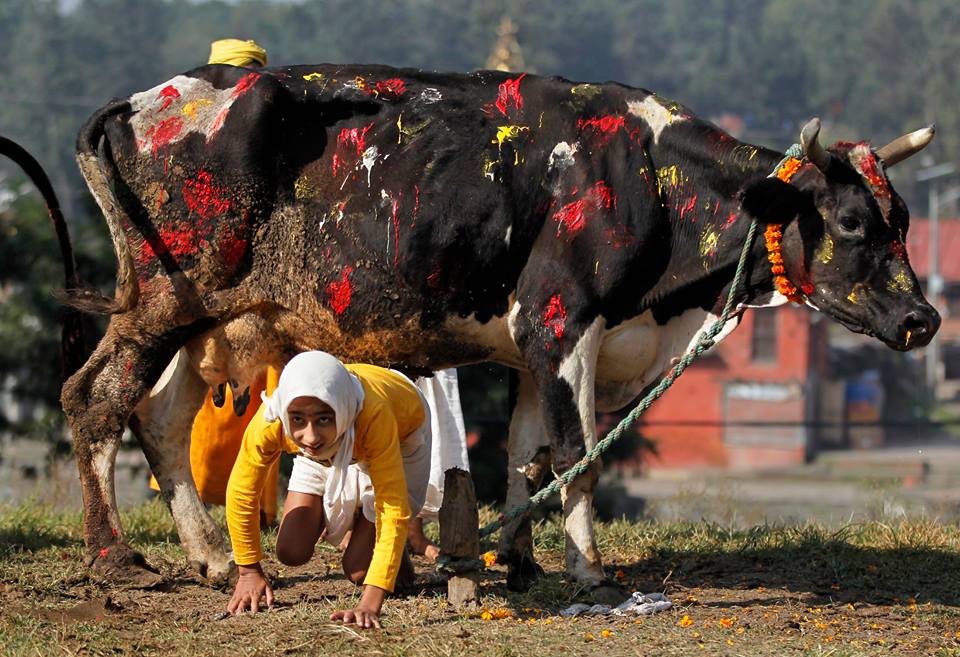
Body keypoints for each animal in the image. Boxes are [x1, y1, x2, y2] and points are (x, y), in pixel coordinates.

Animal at [1, 62, 936, 600]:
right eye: (852, 221)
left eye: (905, 219)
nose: (924, 318)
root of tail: (143, 98)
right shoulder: (560, 321)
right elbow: (577, 453)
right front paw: (590, 569)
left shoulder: (538, 346)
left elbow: (525, 451)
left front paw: (514, 559)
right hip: (162, 300)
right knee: (94, 398)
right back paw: (115, 556)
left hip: (212, 318)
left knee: (158, 415)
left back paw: (209, 555)